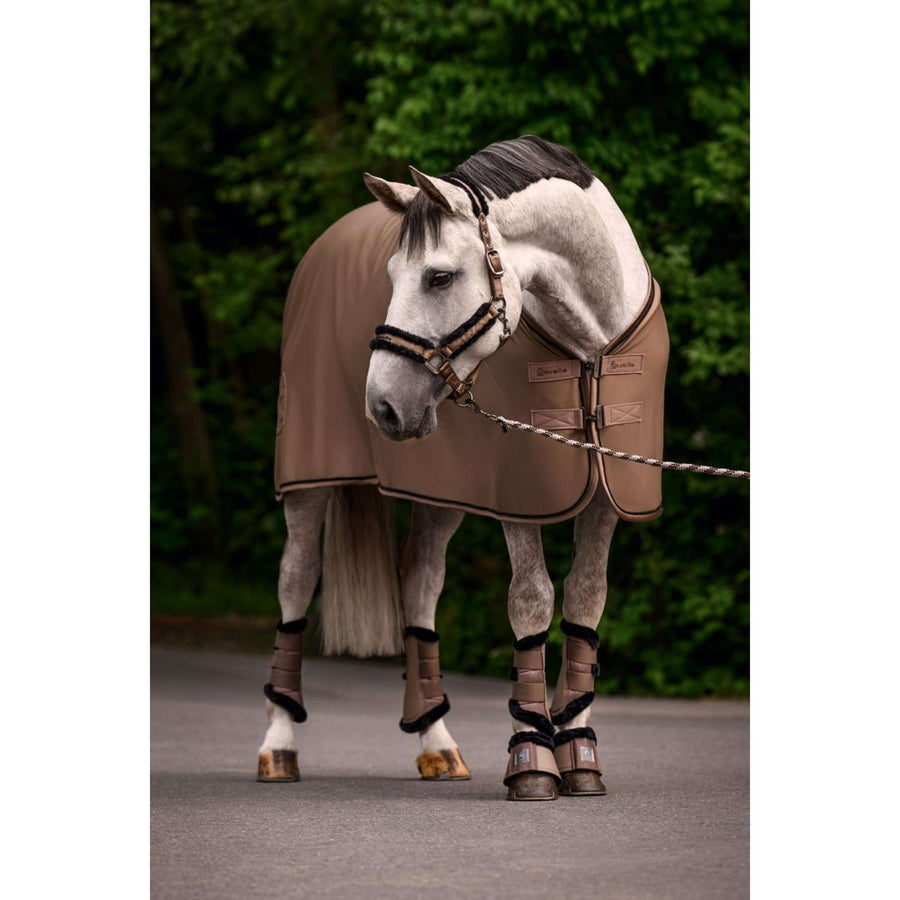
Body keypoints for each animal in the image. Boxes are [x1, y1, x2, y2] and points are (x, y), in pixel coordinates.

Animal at [257, 135, 667, 801]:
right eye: (390, 276)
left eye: (440, 275)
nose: (382, 406)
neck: (590, 342)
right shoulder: (520, 500)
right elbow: (532, 601)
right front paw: (532, 758)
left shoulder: (606, 494)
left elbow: (585, 601)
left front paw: (580, 753)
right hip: (308, 484)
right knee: (296, 579)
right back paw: (278, 745)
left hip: (441, 497)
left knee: (420, 584)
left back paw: (436, 743)